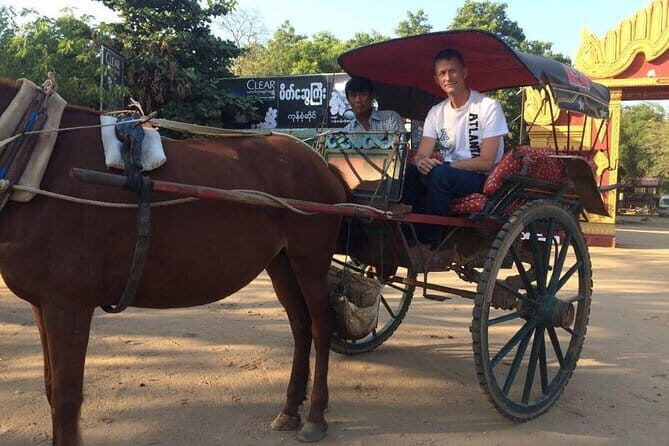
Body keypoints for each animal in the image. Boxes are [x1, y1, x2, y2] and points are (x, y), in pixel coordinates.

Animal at [0, 78, 347, 444]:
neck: (39, 162)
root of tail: (320, 163)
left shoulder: (68, 303)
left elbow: (65, 398)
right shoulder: (42, 303)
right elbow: (51, 389)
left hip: (310, 259)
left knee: (322, 324)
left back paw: (315, 415)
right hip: (281, 262)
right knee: (301, 325)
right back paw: (290, 409)